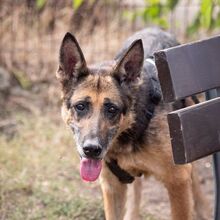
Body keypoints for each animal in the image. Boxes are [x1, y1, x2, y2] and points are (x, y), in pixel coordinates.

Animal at [55, 27, 209, 220]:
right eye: (80, 106)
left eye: (112, 109)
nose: (91, 149)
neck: (133, 127)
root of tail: (155, 28)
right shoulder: (112, 186)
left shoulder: (178, 181)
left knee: (194, 178)